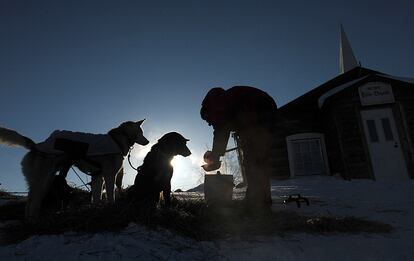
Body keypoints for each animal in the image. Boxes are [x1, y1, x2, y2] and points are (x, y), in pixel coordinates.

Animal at [0, 120, 149, 219]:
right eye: (141, 132)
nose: (148, 141)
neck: (117, 140)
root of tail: (37, 145)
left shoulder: (97, 177)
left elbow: (96, 197)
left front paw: (97, 209)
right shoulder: (109, 175)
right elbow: (111, 195)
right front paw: (111, 207)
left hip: (44, 181)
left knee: (30, 203)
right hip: (43, 181)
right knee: (32, 203)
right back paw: (33, 220)